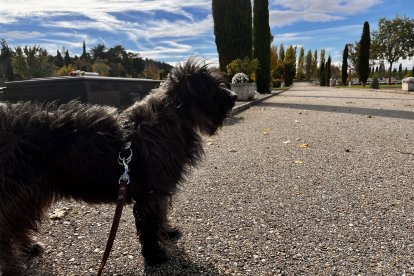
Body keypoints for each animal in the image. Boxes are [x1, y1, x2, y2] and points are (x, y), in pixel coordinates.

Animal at [0, 58, 236, 274]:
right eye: (212, 86)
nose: (233, 97)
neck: (168, 120)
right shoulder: (150, 195)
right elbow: (149, 226)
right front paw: (154, 254)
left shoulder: (159, 193)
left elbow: (161, 215)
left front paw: (166, 231)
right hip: (17, 194)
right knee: (6, 230)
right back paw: (13, 266)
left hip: (30, 195)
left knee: (17, 225)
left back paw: (29, 248)